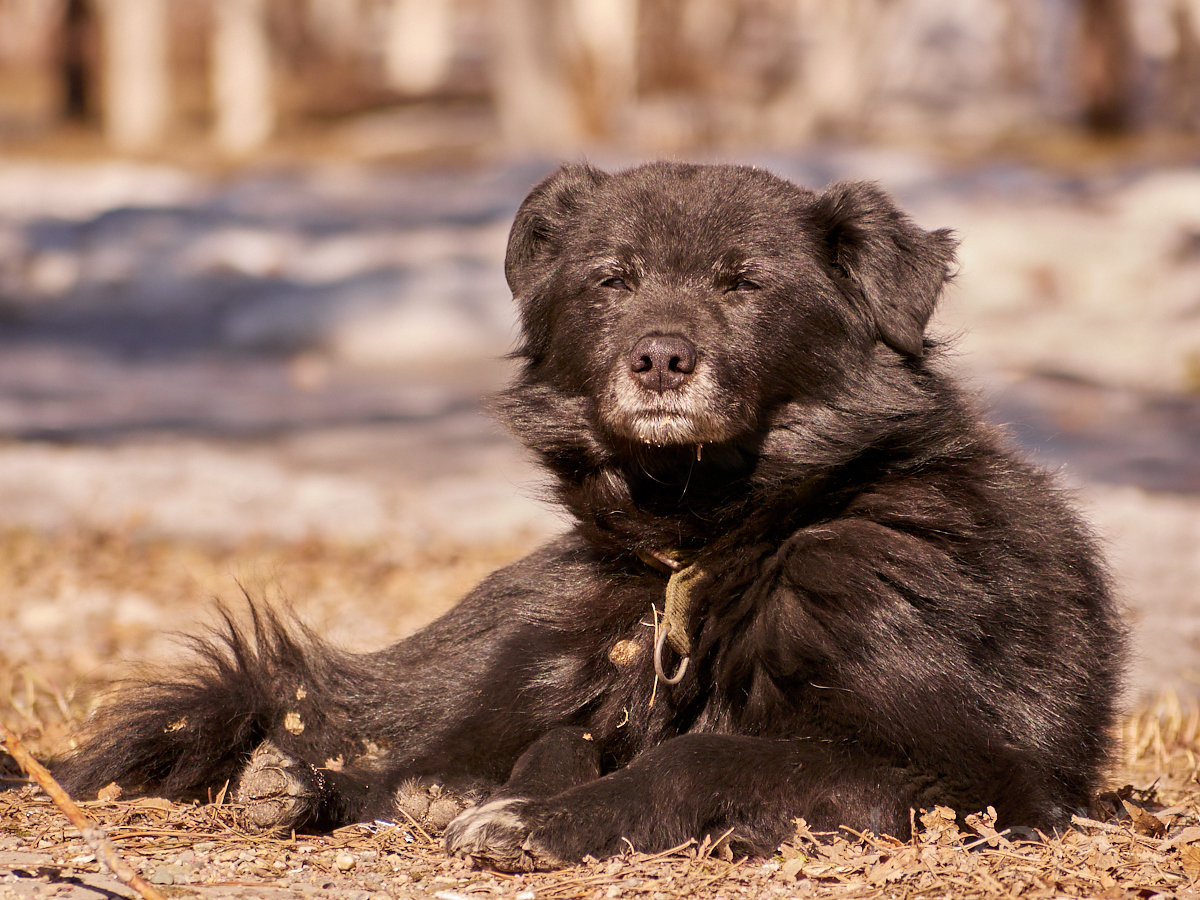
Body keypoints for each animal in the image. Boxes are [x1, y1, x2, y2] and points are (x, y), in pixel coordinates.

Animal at [56, 164, 1123, 873]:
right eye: (613, 278)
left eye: (745, 281)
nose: (659, 359)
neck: (715, 538)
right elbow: (564, 744)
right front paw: (519, 802)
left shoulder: (969, 778)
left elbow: (704, 750)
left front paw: (537, 821)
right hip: (542, 622)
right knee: (353, 728)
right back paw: (308, 782)